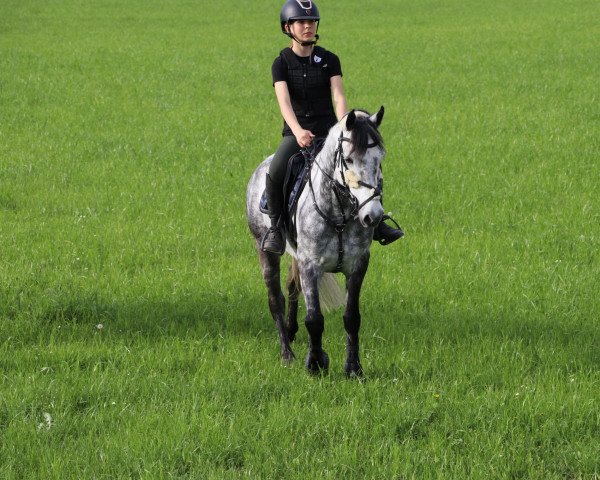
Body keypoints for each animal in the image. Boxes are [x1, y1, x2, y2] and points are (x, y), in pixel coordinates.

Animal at [246, 107, 386, 376]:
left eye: (380, 159)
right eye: (348, 160)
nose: (372, 216)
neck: (339, 213)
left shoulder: (358, 266)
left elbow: (352, 318)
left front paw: (354, 369)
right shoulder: (310, 265)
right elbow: (314, 319)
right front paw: (315, 364)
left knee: (292, 288)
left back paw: (291, 332)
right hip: (265, 250)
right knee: (276, 299)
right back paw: (287, 354)